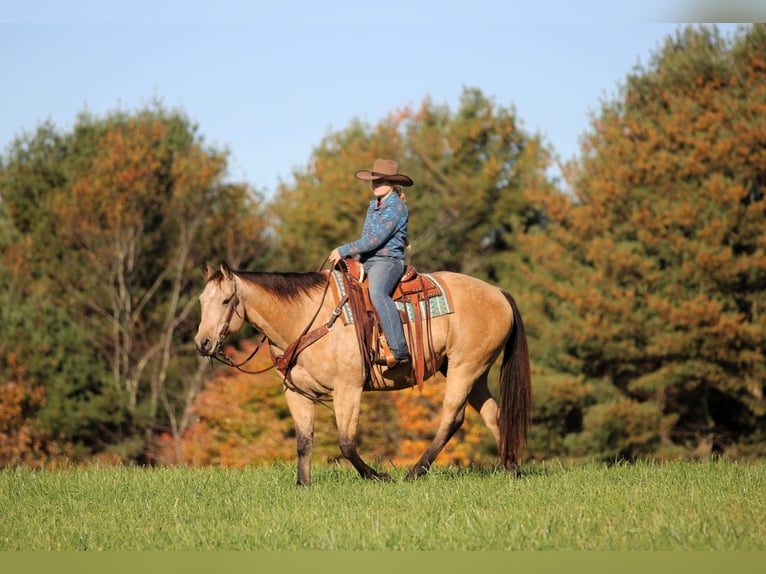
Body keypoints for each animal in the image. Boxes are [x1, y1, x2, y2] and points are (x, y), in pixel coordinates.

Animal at [194, 261, 532, 486]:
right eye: (201, 301)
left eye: (226, 300)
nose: (203, 343)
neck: (305, 318)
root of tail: (498, 292)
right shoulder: (297, 394)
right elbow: (304, 440)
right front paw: (303, 485)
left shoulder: (348, 388)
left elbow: (346, 442)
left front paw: (377, 476)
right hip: (474, 372)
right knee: (493, 414)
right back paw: (511, 468)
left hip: (465, 368)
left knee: (452, 419)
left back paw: (414, 472)